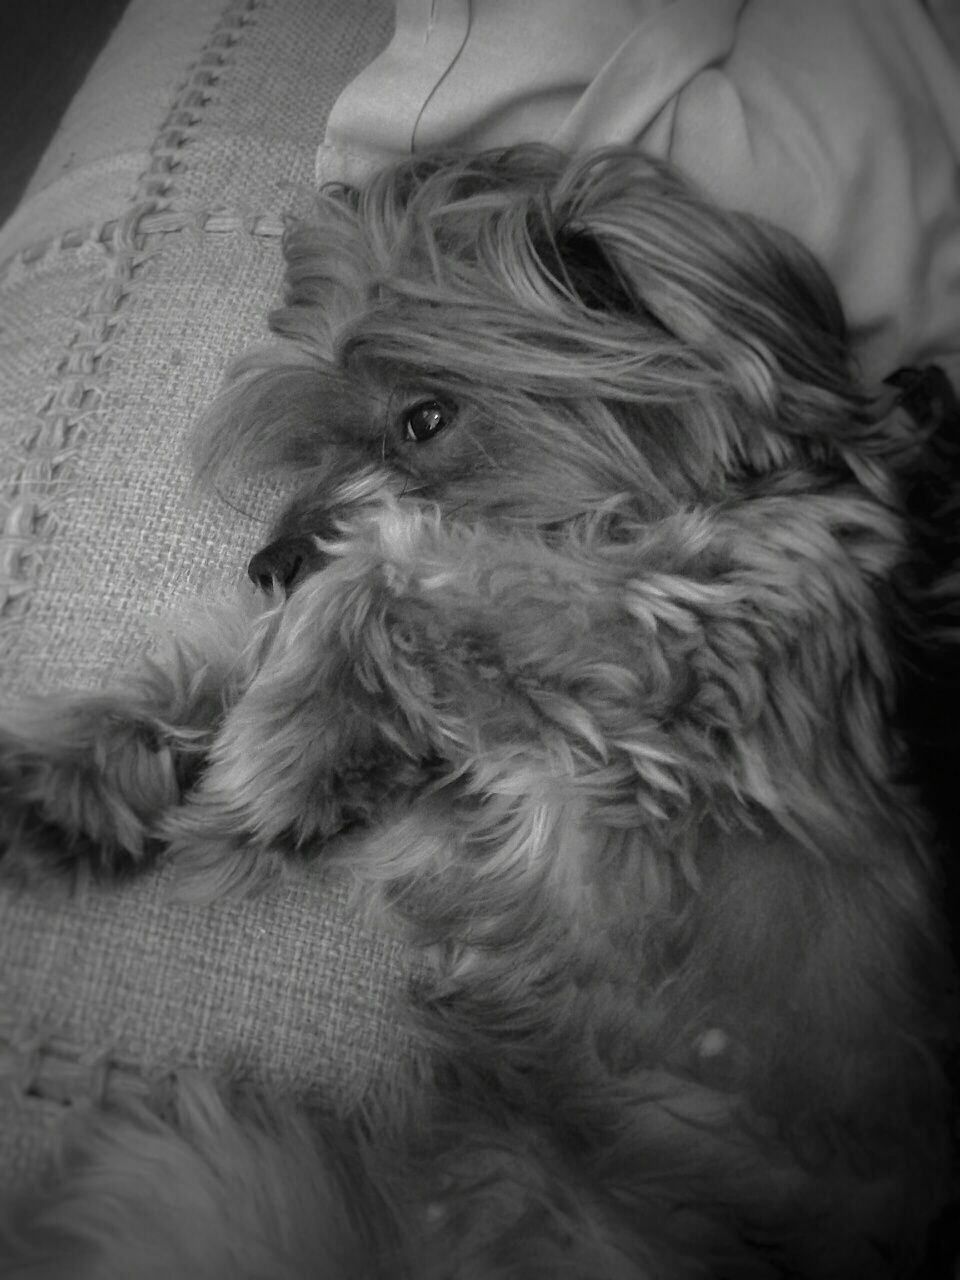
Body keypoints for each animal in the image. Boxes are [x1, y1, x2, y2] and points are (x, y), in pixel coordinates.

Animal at [1, 149, 960, 1280]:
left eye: (425, 417)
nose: (268, 560)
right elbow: (262, 650)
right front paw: (84, 769)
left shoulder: (695, 661)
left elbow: (408, 561)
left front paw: (273, 761)